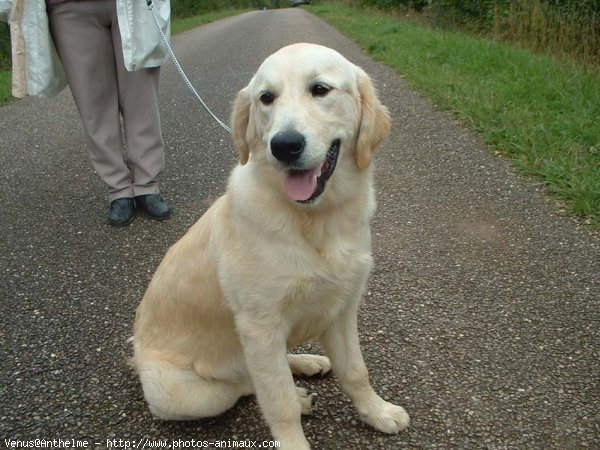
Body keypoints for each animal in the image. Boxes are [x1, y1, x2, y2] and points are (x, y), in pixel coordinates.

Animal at [132, 43, 408, 450]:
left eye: (320, 89)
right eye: (266, 98)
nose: (284, 145)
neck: (314, 220)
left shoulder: (342, 308)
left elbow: (356, 371)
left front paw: (378, 412)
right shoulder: (259, 326)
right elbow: (278, 403)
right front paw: (295, 424)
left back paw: (307, 363)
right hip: (189, 393)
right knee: (244, 384)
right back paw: (299, 391)